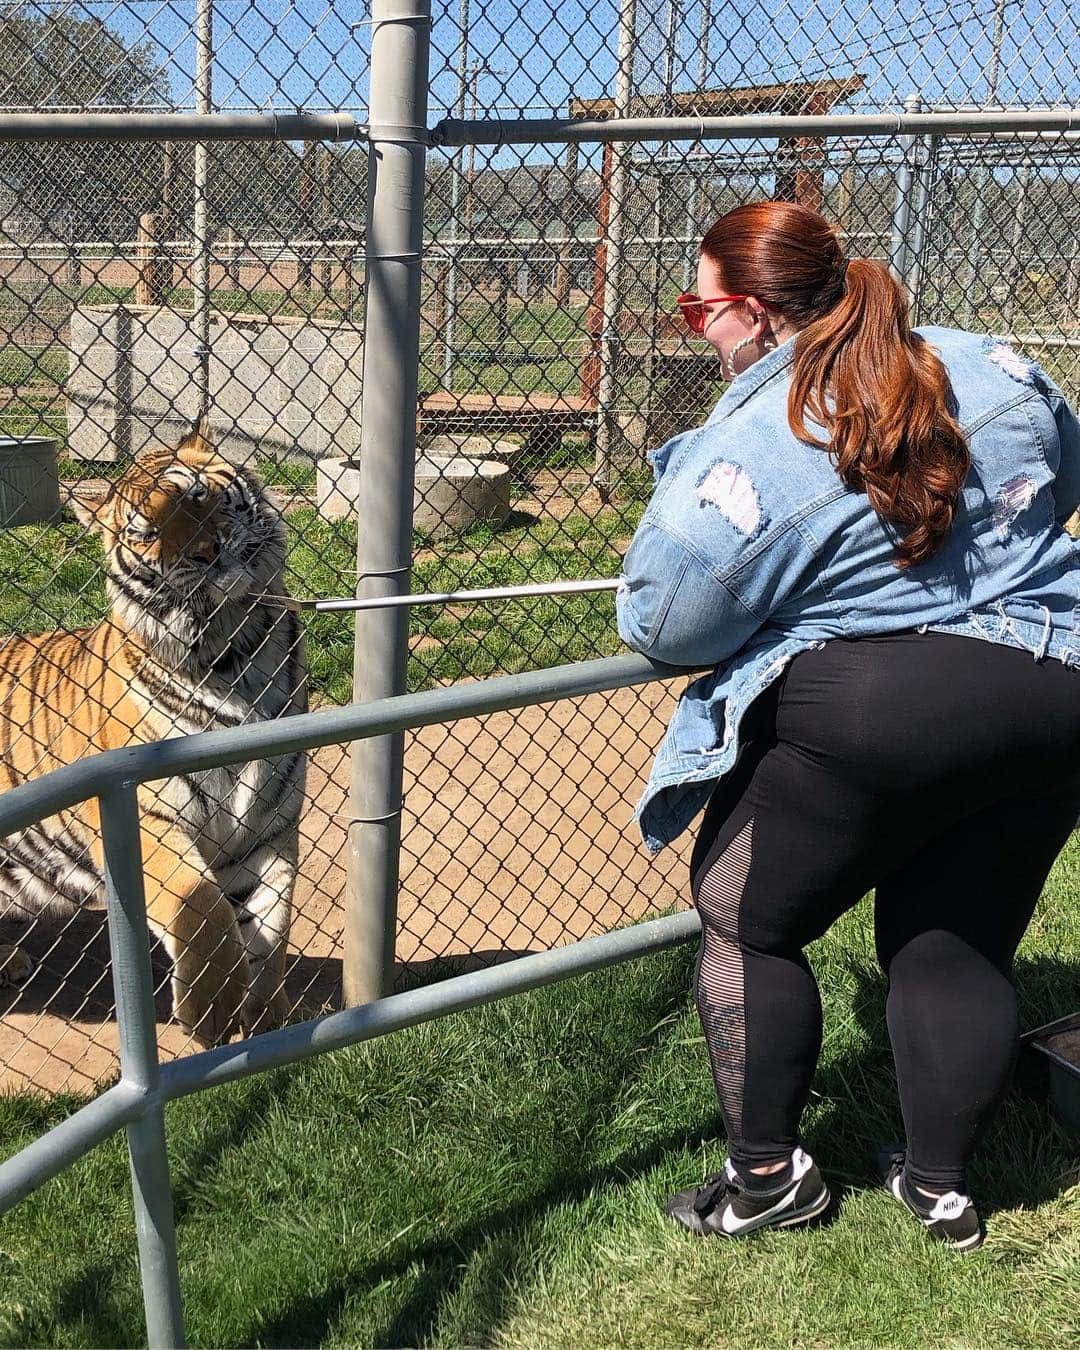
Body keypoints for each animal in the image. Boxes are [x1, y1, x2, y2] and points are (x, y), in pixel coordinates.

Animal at [0, 426, 307, 1047]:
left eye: (195, 496)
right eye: (145, 532)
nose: (204, 554)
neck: (232, 650)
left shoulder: (266, 830)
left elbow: (270, 926)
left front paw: (269, 1022)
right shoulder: (146, 814)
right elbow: (202, 907)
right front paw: (211, 1014)